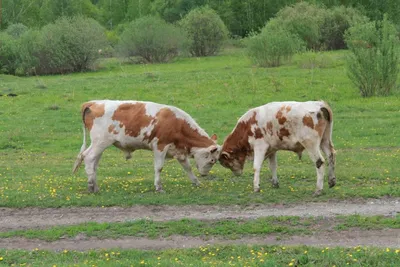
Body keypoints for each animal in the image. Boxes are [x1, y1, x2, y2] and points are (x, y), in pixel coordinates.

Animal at [73, 100, 220, 193]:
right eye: (212, 160)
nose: (205, 174)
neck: (177, 123)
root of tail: (93, 103)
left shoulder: (178, 151)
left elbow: (187, 167)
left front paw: (196, 182)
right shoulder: (160, 146)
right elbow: (159, 167)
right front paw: (158, 187)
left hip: (99, 145)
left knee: (92, 161)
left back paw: (95, 186)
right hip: (100, 142)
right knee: (89, 158)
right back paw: (91, 186)